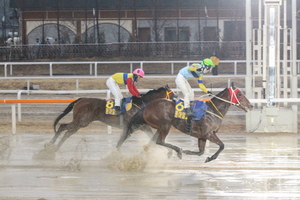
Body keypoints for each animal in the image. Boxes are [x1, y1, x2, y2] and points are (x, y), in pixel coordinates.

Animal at [45, 85, 175, 152]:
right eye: (174, 94)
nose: (176, 103)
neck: (141, 104)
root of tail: (81, 99)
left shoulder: (142, 127)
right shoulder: (134, 126)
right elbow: (121, 141)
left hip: (80, 122)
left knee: (67, 131)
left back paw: (53, 147)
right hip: (81, 121)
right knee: (63, 127)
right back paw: (51, 145)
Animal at [117, 84, 253, 162]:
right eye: (240, 94)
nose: (251, 105)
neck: (212, 110)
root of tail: (146, 107)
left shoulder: (202, 136)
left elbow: (201, 151)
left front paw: (190, 152)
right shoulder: (209, 134)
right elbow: (222, 145)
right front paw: (210, 158)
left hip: (159, 127)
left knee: (152, 142)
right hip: (165, 125)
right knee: (160, 141)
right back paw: (178, 150)